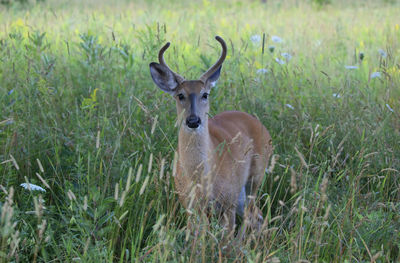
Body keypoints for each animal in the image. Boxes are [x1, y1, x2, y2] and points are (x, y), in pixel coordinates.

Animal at [148, 36, 274, 236]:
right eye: (180, 95)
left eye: (205, 94)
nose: (193, 120)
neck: (201, 178)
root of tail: (261, 125)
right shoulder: (189, 204)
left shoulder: (227, 201)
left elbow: (225, 237)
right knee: (257, 215)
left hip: (254, 178)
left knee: (253, 215)